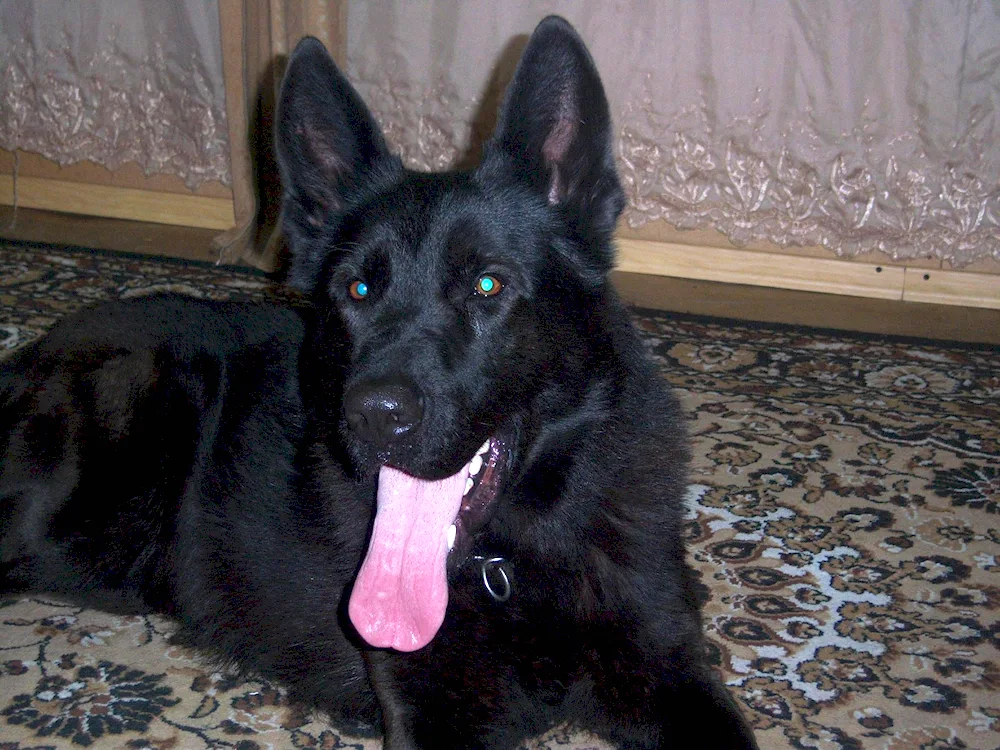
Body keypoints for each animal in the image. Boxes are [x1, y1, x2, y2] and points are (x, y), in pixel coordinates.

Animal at [0, 17, 756, 750]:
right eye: (358, 290)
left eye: (488, 285)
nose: (374, 415)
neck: (513, 553)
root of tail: (30, 352)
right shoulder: (432, 708)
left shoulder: (668, 667)